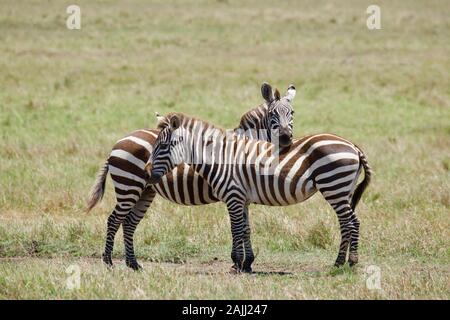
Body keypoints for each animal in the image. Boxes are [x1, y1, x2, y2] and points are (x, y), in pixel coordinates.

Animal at [87, 82, 298, 270]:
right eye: (272, 114)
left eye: (292, 113)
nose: (286, 138)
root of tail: (118, 142)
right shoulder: (235, 192)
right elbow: (239, 227)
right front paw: (238, 262)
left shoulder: (242, 193)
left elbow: (246, 228)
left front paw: (247, 263)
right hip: (128, 187)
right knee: (114, 219)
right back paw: (108, 262)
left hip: (145, 191)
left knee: (129, 223)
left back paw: (133, 264)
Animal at [146, 112, 370, 272]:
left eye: (164, 145)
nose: (146, 172)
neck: (220, 158)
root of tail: (352, 145)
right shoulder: (242, 199)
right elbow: (246, 229)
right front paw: (247, 264)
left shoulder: (233, 196)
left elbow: (236, 229)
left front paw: (237, 263)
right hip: (344, 190)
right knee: (355, 221)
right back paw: (351, 261)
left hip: (334, 186)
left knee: (347, 223)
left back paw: (339, 263)